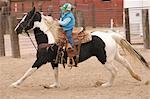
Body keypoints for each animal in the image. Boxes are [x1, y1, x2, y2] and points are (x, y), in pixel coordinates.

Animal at [10, 7, 149, 88]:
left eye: (26, 18)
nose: (16, 29)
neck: (49, 38)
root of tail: (110, 34)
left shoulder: (40, 60)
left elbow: (28, 72)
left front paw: (15, 83)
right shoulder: (53, 62)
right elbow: (55, 74)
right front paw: (54, 85)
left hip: (105, 59)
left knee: (114, 70)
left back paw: (106, 84)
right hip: (113, 56)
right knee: (125, 62)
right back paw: (136, 77)